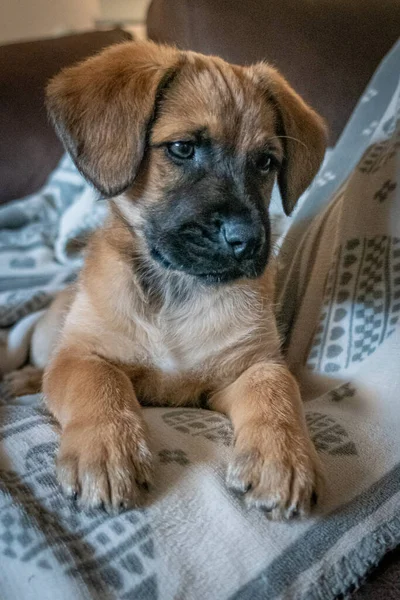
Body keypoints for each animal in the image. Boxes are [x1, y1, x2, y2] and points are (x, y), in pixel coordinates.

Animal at [8, 41, 328, 520]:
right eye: (182, 148)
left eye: (266, 162)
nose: (248, 242)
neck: (176, 290)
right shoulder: (82, 354)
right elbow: (99, 382)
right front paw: (108, 449)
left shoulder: (251, 364)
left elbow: (276, 390)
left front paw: (285, 457)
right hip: (52, 337)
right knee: (40, 365)